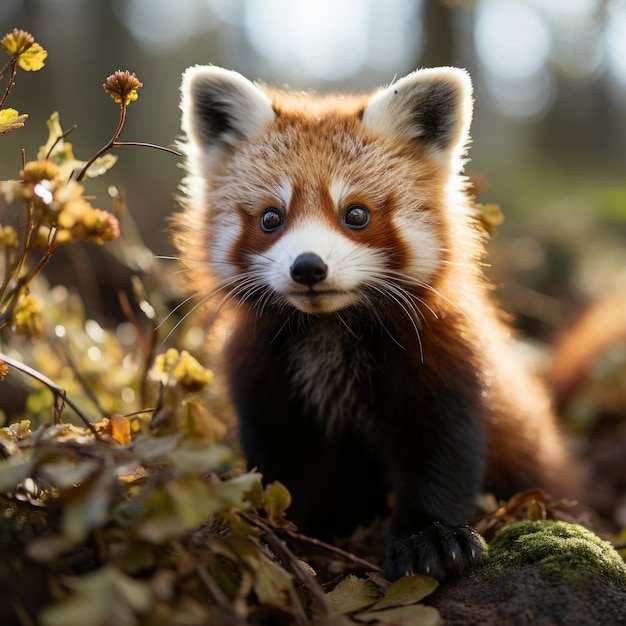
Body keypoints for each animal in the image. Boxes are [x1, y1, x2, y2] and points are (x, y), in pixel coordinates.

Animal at [173, 64, 576, 580]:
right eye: (270, 219)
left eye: (356, 214)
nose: (308, 267)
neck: (330, 329)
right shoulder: (266, 374)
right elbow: (278, 463)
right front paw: (263, 534)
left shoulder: (444, 358)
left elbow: (443, 453)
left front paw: (430, 537)